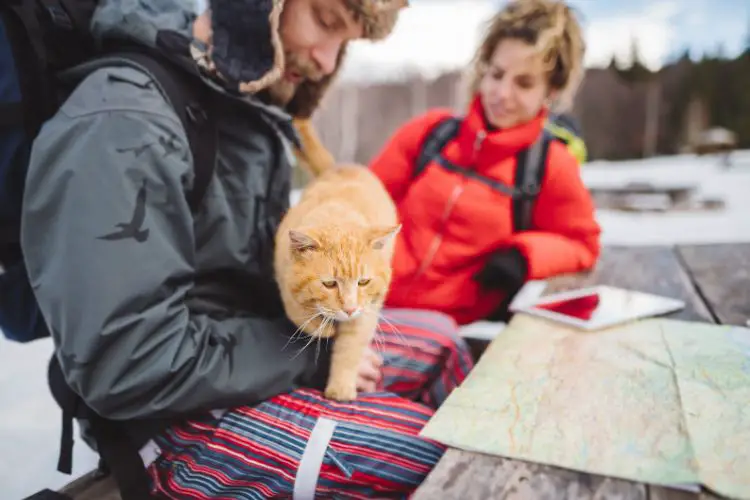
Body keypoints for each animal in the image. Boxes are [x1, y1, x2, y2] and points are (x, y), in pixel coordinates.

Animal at [276, 162, 402, 400]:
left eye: (363, 282)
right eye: (329, 284)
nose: (349, 309)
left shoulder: (365, 313)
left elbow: (349, 349)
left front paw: (341, 389)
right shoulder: (283, 275)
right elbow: (296, 310)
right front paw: (322, 328)